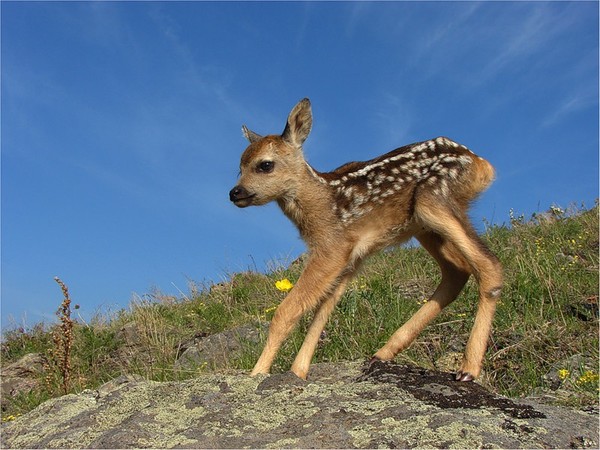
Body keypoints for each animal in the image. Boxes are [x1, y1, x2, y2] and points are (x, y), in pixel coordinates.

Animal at [230, 99, 502, 384]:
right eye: (240, 167)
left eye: (265, 165)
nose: (234, 192)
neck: (321, 202)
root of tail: (481, 163)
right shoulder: (351, 258)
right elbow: (322, 312)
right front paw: (298, 372)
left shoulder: (332, 247)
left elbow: (286, 312)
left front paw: (258, 373)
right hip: (423, 225)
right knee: (457, 272)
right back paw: (384, 352)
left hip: (434, 199)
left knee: (489, 265)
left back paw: (468, 368)